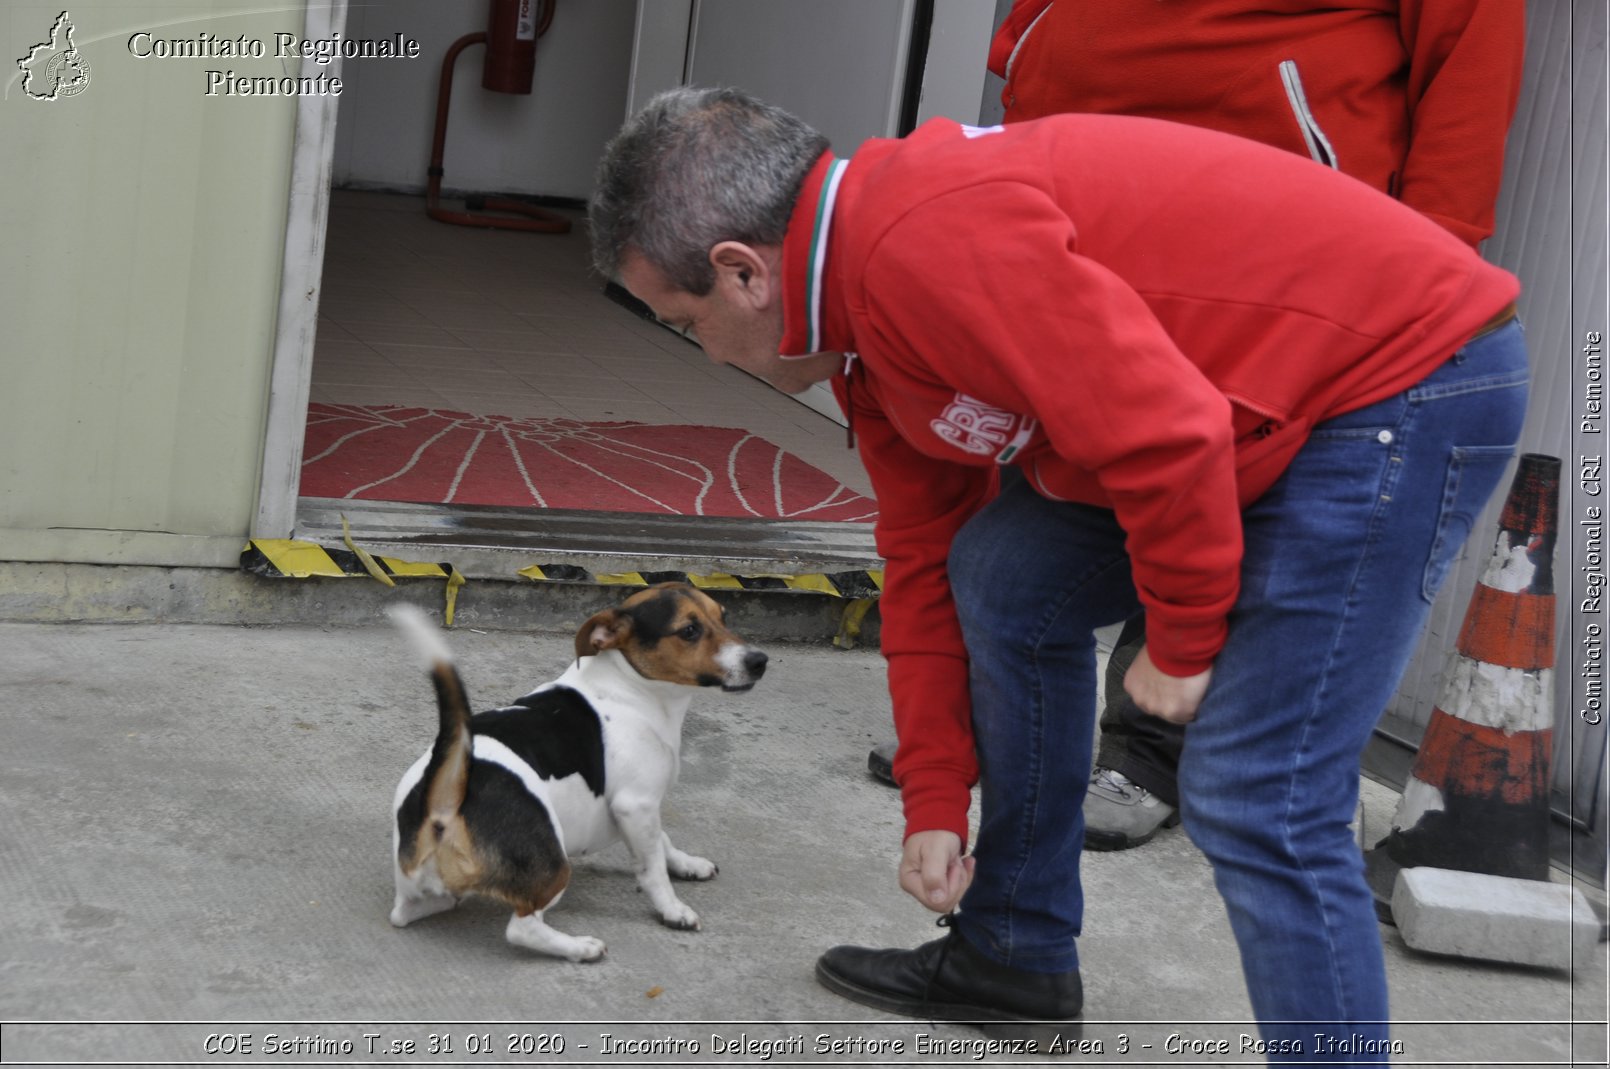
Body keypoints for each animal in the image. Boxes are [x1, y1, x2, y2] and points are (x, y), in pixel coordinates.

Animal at [388, 586, 766, 959]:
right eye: (689, 630)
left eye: (723, 617)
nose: (759, 661)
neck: (628, 686)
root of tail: (445, 795)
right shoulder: (637, 805)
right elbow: (654, 868)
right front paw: (673, 909)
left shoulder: (643, 812)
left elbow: (663, 841)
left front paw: (688, 864)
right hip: (554, 867)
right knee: (521, 928)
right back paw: (580, 948)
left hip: (430, 894)